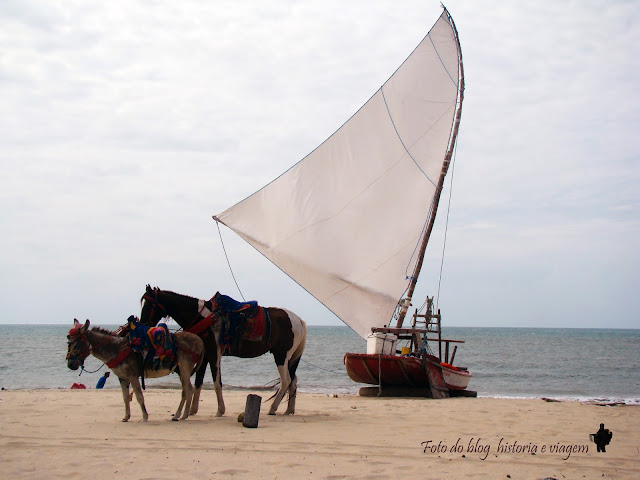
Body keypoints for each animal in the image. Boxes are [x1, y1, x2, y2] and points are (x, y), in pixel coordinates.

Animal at [66, 318, 204, 420]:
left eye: (76, 344)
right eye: (68, 343)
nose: (70, 365)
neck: (116, 348)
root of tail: (199, 340)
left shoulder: (133, 376)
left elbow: (139, 396)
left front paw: (145, 417)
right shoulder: (122, 378)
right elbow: (125, 397)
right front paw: (126, 417)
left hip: (185, 367)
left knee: (187, 390)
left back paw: (179, 415)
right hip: (180, 370)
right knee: (188, 389)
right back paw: (182, 415)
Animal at [139, 284, 308, 416]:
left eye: (147, 305)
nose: (143, 324)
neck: (204, 318)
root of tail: (299, 320)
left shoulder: (214, 355)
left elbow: (217, 382)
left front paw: (220, 410)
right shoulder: (205, 356)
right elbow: (199, 382)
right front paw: (193, 410)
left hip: (281, 356)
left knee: (286, 381)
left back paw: (273, 408)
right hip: (290, 358)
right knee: (293, 380)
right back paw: (289, 410)